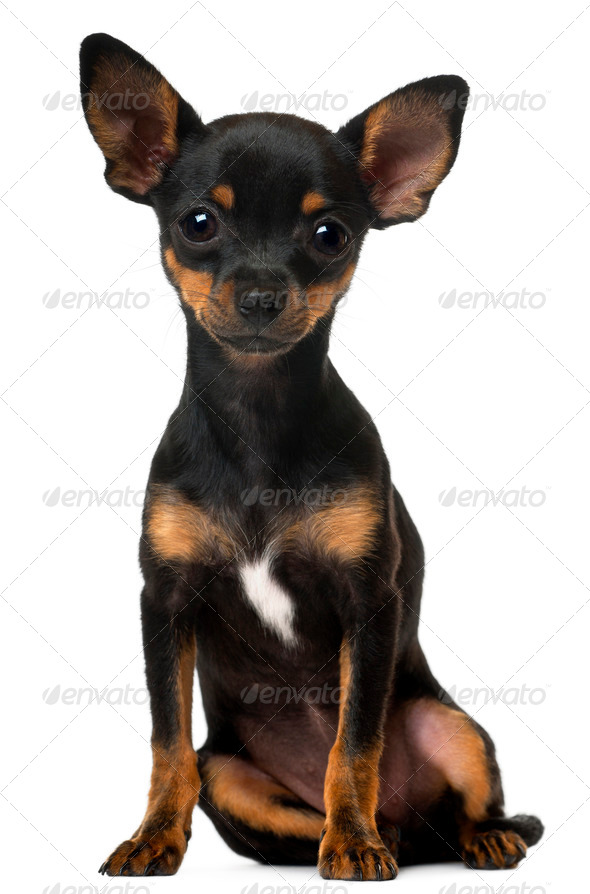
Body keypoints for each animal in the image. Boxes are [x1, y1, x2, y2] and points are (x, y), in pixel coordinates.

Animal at [81, 35, 544, 880]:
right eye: (198, 224)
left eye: (329, 235)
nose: (262, 295)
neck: (259, 417)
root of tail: (412, 828)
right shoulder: (165, 602)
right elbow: (167, 742)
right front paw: (153, 838)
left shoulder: (369, 603)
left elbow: (353, 744)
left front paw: (353, 844)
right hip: (230, 777)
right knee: (263, 803)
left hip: (451, 724)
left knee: (455, 805)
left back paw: (454, 837)